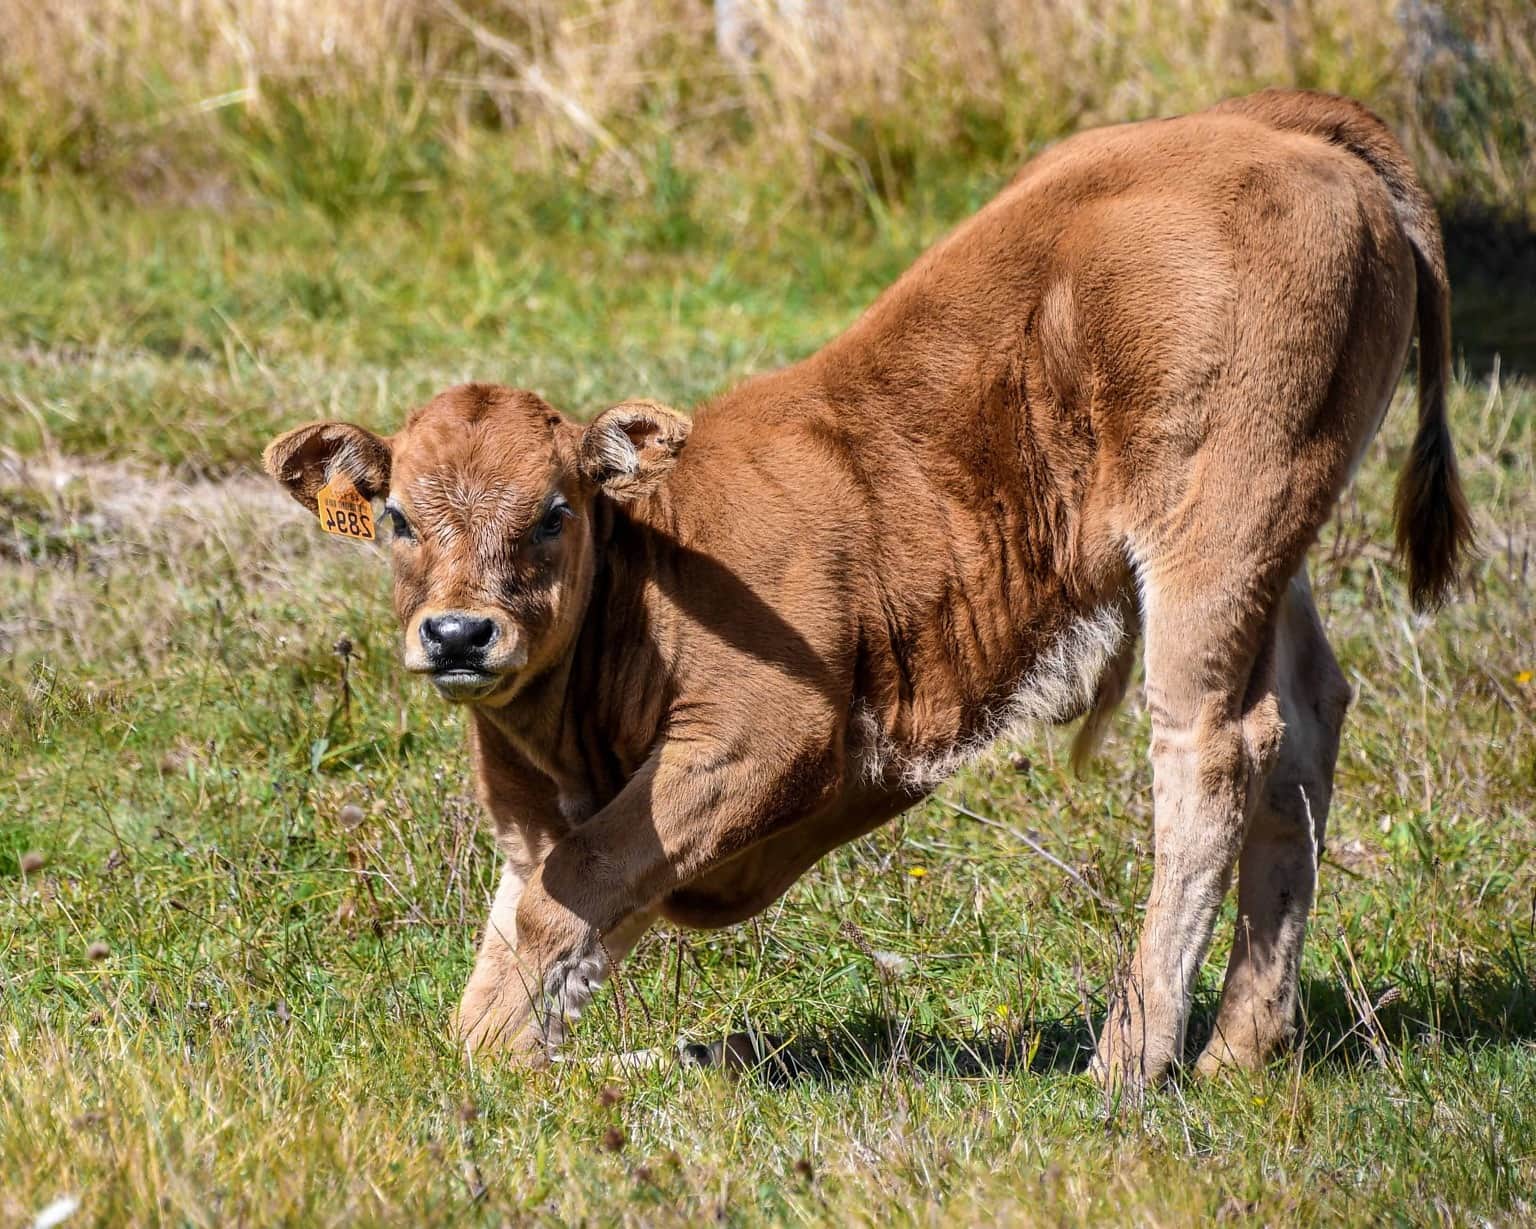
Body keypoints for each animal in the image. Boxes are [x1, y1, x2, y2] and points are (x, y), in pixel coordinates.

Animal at [264, 88, 1462, 1087]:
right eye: (397, 516)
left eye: (556, 510)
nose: (460, 634)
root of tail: (1264, 123)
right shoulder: (535, 816)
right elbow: (524, 942)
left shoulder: (760, 735)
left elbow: (576, 896)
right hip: (1276, 543)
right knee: (1307, 719)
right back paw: (1241, 1050)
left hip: (1215, 527)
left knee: (1215, 746)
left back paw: (1133, 1058)